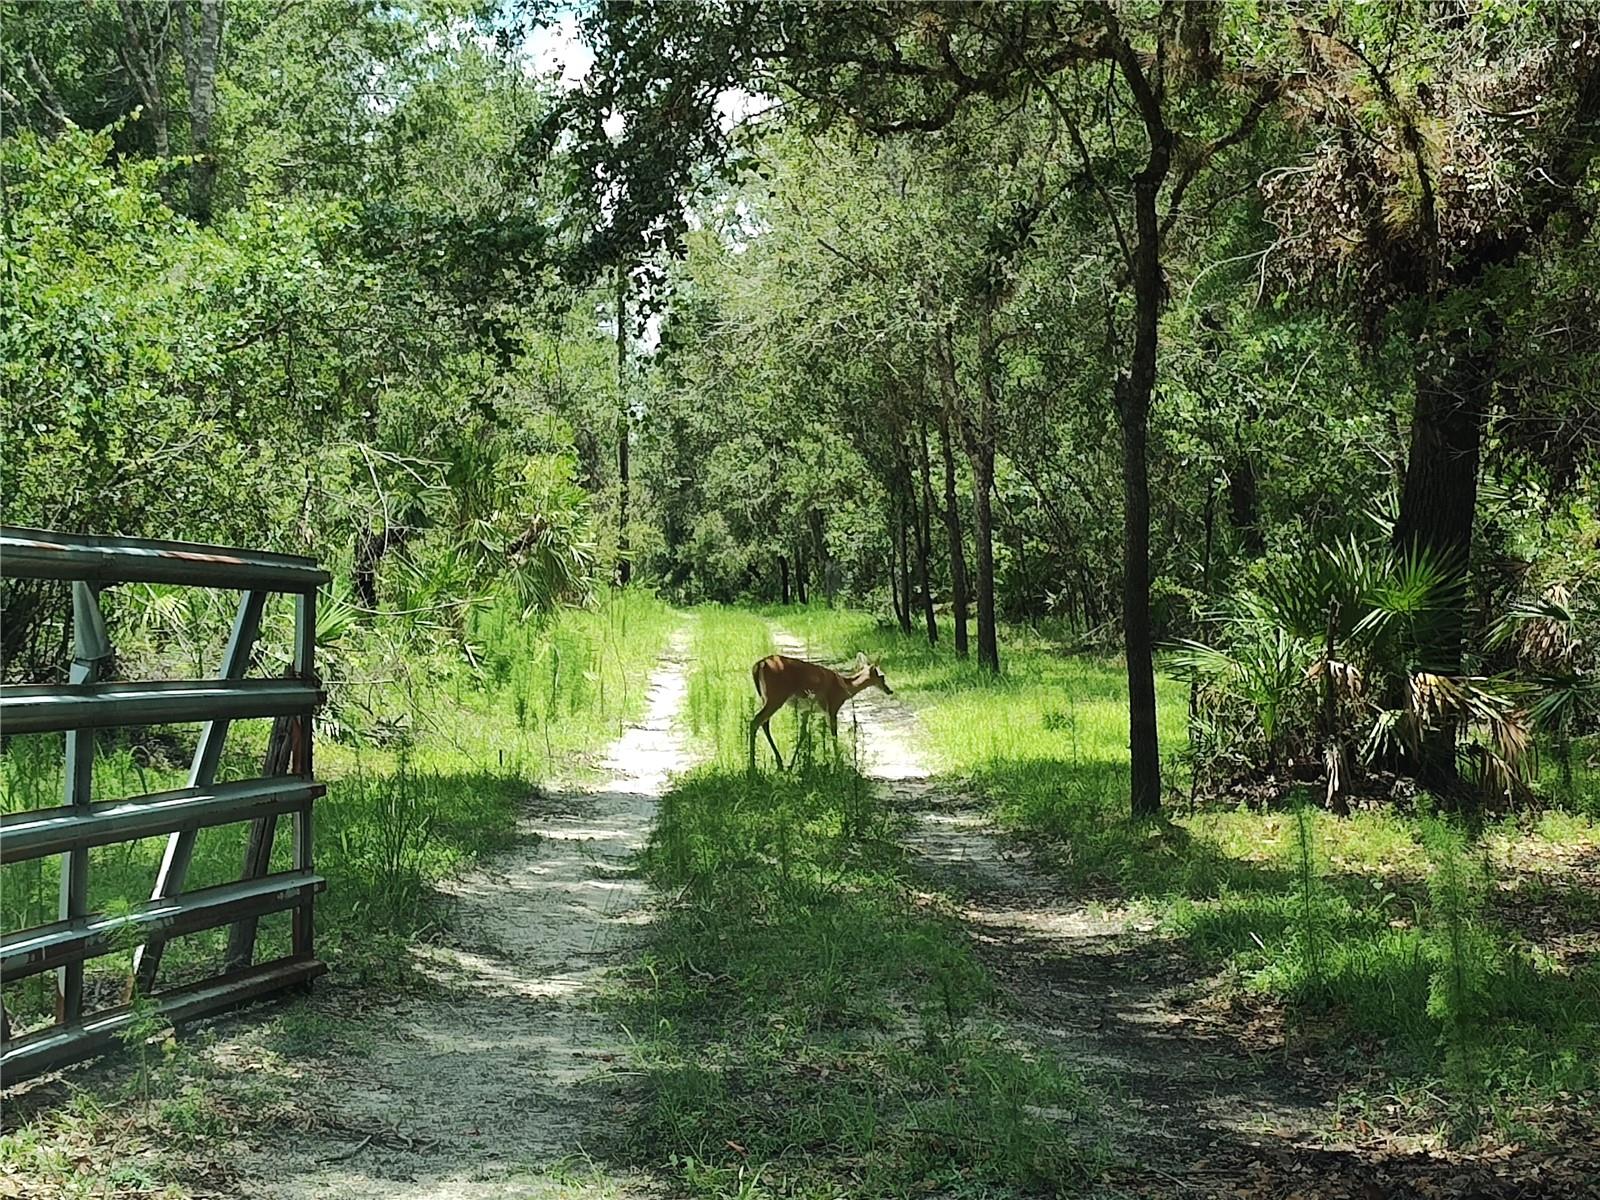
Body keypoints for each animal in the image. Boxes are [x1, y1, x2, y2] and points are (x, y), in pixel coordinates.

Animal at [750, 651, 893, 769]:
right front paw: (837, 763)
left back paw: (778, 763)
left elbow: (803, 734)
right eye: (882, 676)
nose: (890, 690)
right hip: (776, 696)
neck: (844, 688)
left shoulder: (806, 710)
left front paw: (792, 764)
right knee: (756, 721)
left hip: (765, 697)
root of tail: (760, 664)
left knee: (764, 723)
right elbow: (834, 735)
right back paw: (752, 767)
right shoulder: (833, 706)